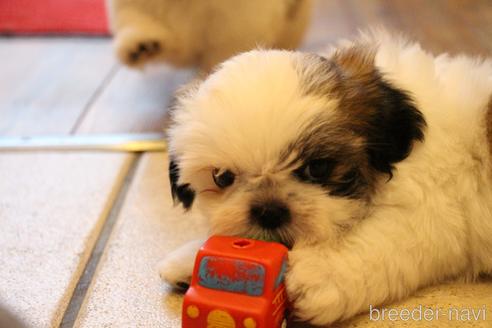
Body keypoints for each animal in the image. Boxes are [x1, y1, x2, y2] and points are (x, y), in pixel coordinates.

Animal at [160, 31, 492, 326]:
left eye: (318, 168)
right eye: (222, 177)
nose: (268, 211)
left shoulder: (434, 210)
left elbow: (386, 238)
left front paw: (321, 274)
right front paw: (190, 260)